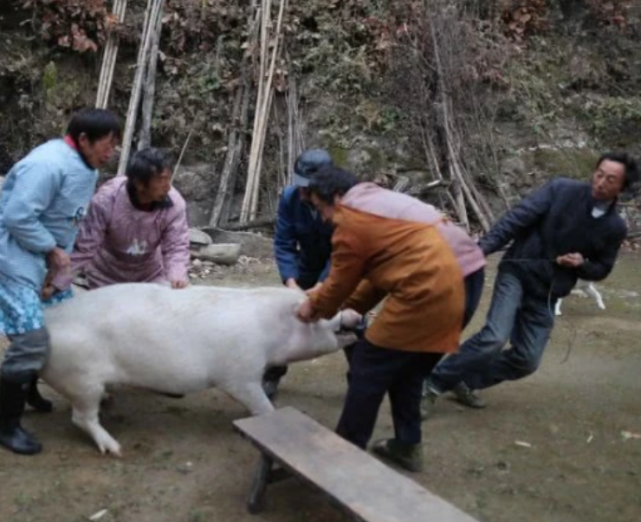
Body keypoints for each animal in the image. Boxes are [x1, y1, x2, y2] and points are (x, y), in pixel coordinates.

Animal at [40, 280, 360, 456]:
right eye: (325, 315)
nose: (356, 315)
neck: (272, 331)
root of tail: (46, 321)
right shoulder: (240, 374)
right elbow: (261, 405)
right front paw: (267, 421)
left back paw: (110, 401)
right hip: (80, 378)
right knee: (81, 418)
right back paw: (116, 449)